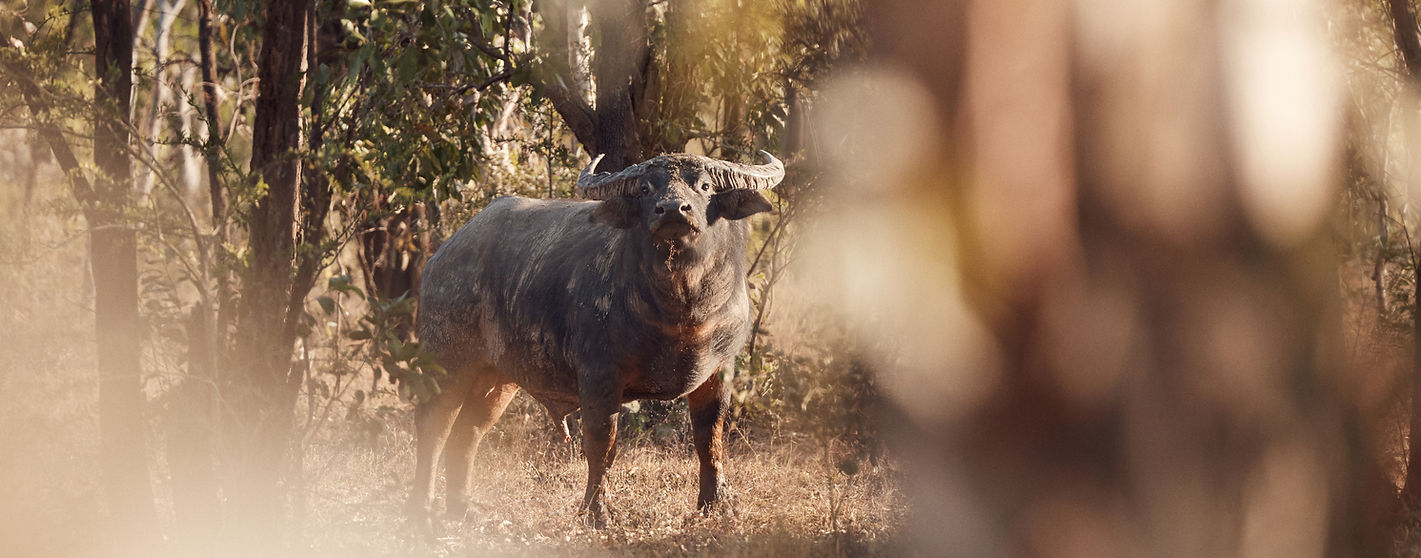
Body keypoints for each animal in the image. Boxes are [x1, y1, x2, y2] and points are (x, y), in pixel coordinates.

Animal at [409, 151, 784, 526]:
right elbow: (603, 445)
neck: (681, 308)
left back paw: (461, 506)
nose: (672, 210)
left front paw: (715, 503)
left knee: (467, 434)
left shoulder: (719, 371)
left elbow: (710, 438)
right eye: (646, 188)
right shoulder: (599, 377)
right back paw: (422, 507)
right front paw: (596, 512)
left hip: (496, 379)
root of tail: (442, 256)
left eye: (705, 186)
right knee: (432, 428)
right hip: (447, 363)